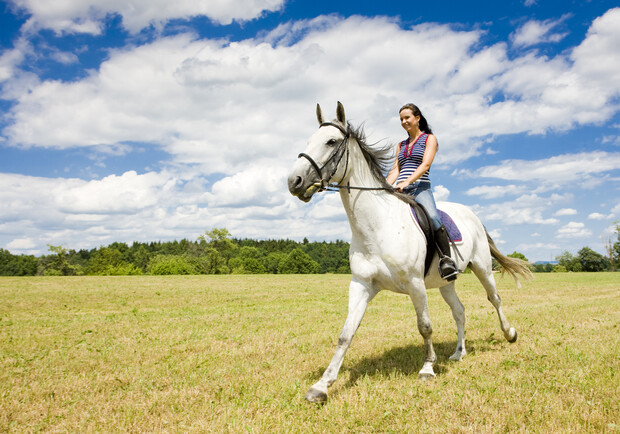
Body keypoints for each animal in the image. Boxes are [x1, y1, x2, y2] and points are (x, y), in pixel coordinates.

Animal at [288, 101, 532, 404]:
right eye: (309, 140)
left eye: (331, 142)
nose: (294, 181)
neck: (377, 225)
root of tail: (471, 214)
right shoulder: (361, 285)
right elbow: (346, 333)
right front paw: (321, 386)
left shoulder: (416, 285)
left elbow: (424, 326)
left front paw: (427, 368)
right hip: (446, 283)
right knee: (460, 311)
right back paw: (458, 353)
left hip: (483, 268)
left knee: (494, 299)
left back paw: (509, 333)